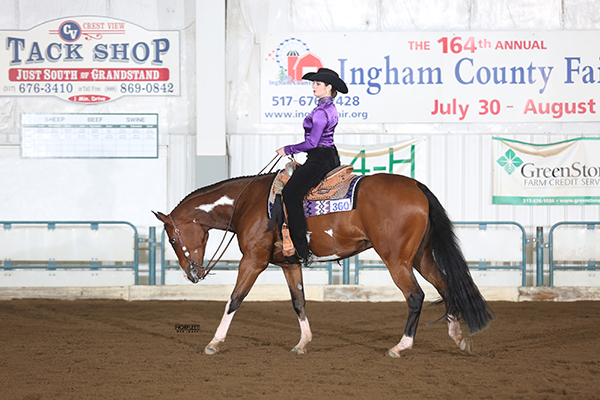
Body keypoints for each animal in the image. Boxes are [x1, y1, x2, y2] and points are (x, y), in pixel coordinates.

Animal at [154, 172, 492, 356]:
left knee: (416, 297)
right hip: (420, 257)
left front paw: (214, 342)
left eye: (171, 238)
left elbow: (234, 300)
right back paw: (458, 338)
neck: (248, 203)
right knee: (446, 287)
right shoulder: (289, 264)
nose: (192, 274)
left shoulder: (253, 261)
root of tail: (417, 187)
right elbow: (299, 302)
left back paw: (401, 347)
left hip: (397, 260)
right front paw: (303, 343)